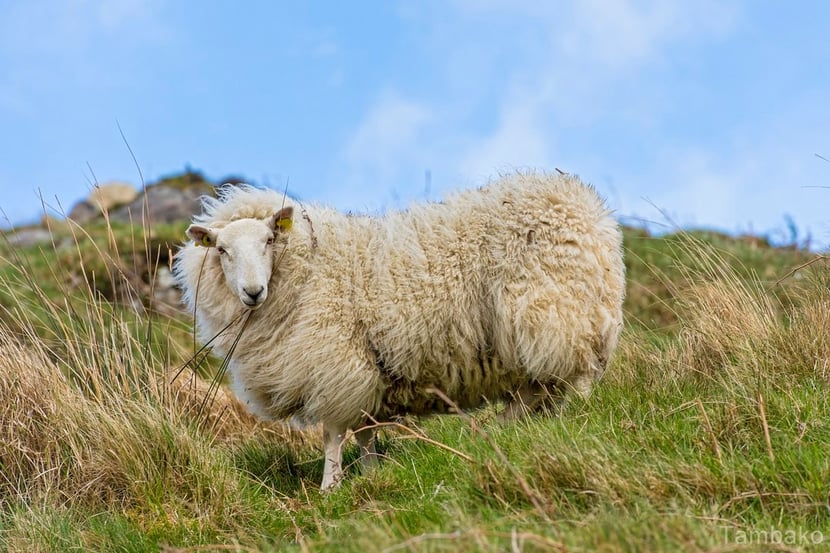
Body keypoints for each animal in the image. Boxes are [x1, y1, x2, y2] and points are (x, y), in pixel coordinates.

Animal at [173, 172, 625, 490]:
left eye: (269, 240)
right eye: (222, 251)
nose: (252, 291)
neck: (307, 267)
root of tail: (590, 214)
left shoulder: (334, 364)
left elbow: (334, 434)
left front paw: (329, 487)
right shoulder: (359, 374)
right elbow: (364, 433)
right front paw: (372, 474)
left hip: (556, 316)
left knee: (574, 382)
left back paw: (561, 422)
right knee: (538, 390)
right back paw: (503, 430)